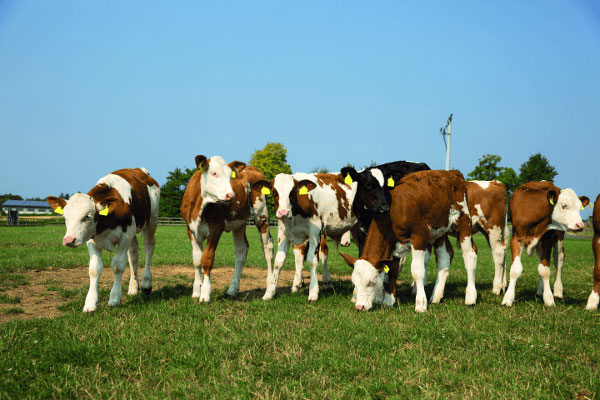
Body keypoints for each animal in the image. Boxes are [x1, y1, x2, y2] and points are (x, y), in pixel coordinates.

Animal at [46, 168, 159, 312]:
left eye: (87, 216)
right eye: (65, 217)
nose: (69, 240)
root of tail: (141, 170)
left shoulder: (126, 236)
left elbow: (117, 266)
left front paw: (115, 298)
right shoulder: (91, 239)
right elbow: (94, 269)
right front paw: (90, 303)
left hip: (152, 222)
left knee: (148, 249)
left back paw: (146, 283)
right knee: (133, 255)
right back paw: (133, 287)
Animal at [180, 156, 274, 304]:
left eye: (231, 176)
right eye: (213, 173)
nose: (231, 195)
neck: (199, 207)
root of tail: (253, 168)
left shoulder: (216, 228)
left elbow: (207, 259)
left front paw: (205, 294)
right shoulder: (190, 230)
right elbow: (196, 260)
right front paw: (196, 291)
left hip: (262, 216)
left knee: (267, 248)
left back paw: (269, 292)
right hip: (239, 222)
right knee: (241, 250)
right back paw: (231, 290)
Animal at [262, 171, 358, 300]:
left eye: (293, 191)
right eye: (274, 191)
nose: (283, 212)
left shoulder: (315, 232)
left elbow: (312, 260)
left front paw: (313, 292)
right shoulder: (283, 232)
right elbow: (279, 262)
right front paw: (269, 293)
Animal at [342, 169, 478, 312]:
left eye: (371, 282)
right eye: (354, 282)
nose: (359, 306)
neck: (394, 213)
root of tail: (453, 173)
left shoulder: (419, 237)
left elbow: (417, 271)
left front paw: (420, 304)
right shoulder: (394, 245)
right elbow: (393, 271)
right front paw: (389, 301)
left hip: (463, 222)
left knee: (470, 256)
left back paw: (470, 297)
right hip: (441, 230)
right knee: (445, 256)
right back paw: (436, 296)